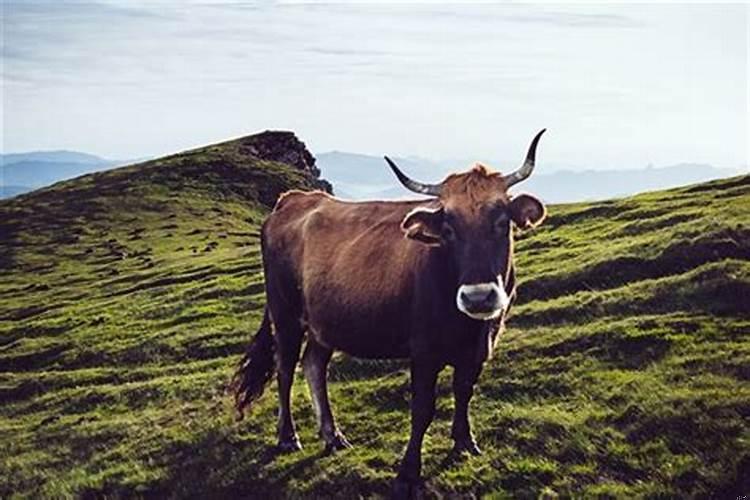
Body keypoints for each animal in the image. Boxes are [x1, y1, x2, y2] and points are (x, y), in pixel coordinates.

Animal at [232, 130, 548, 496]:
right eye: (448, 229)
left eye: (501, 222)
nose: (478, 297)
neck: (466, 327)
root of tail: (293, 200)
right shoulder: (423, 351)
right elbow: (422, 409)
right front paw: (408, 472)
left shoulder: (479, 347)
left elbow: (464, 392)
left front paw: (465, 443)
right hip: (285, 314)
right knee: (285, 371)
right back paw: (288, 437)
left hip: (324, 322)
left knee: (313, 365)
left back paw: (333, 435)